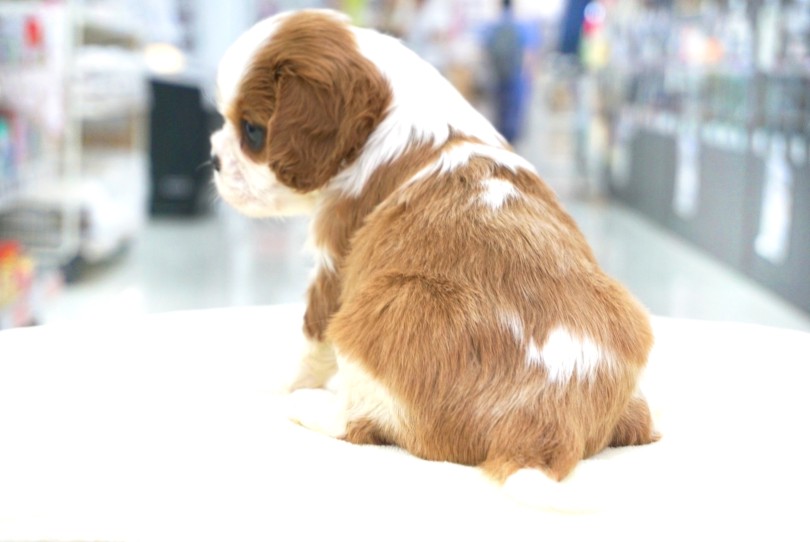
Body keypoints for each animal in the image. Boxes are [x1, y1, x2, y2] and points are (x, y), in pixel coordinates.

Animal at [208, 9, 656, 484]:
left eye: (253, 132)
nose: (215, 158)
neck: (392, 115)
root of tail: (545, 427)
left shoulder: (337, 259)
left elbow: (311, 336)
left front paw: (280, 380)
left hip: (381, 305)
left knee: (359, 423)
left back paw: (310, 406)